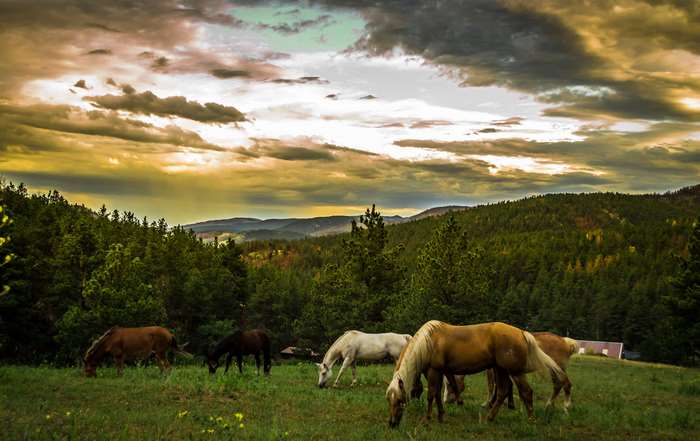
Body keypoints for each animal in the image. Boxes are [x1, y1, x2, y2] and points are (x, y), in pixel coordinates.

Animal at [444, 332, 579, 410]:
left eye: (450, 384)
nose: (446, 401)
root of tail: (566, 341)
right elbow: (508, 386)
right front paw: (509, 404)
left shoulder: (492, 370)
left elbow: (493, 386)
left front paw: (488, 403)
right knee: (558, 385)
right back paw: (550, 405)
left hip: (557, 369)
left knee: (565, 384)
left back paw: (565, 406)